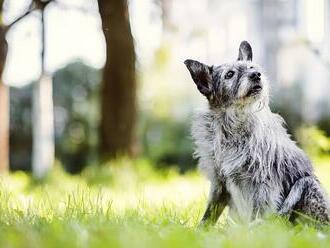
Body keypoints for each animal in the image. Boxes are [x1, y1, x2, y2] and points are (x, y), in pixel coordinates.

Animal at [184, 41, 328, 227]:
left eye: (252, 67)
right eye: (229, 74)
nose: (256, 75)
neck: (231, 127)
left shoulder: (263, 184)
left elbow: (258, 211)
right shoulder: (219, 183)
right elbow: (208, 216)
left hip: (306, 184)